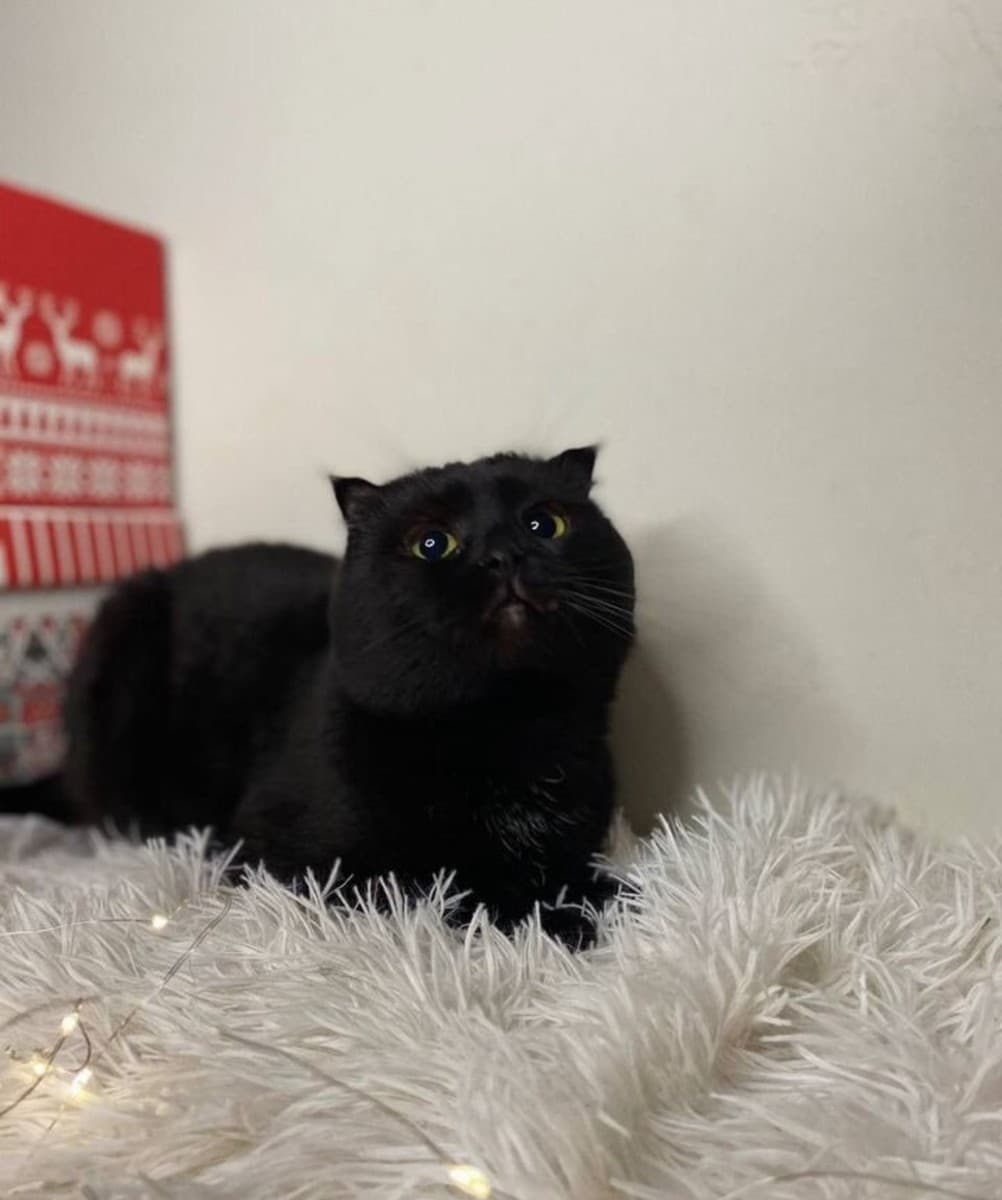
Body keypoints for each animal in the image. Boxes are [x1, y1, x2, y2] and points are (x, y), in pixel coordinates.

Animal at [26, 447, 637, 945]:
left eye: (545, 523)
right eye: (431, 544)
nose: (505, 554)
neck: (509, 727)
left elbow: (575, 872)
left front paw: (602, 897)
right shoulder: (309, 864)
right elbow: (444, 884)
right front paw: (559, 917)